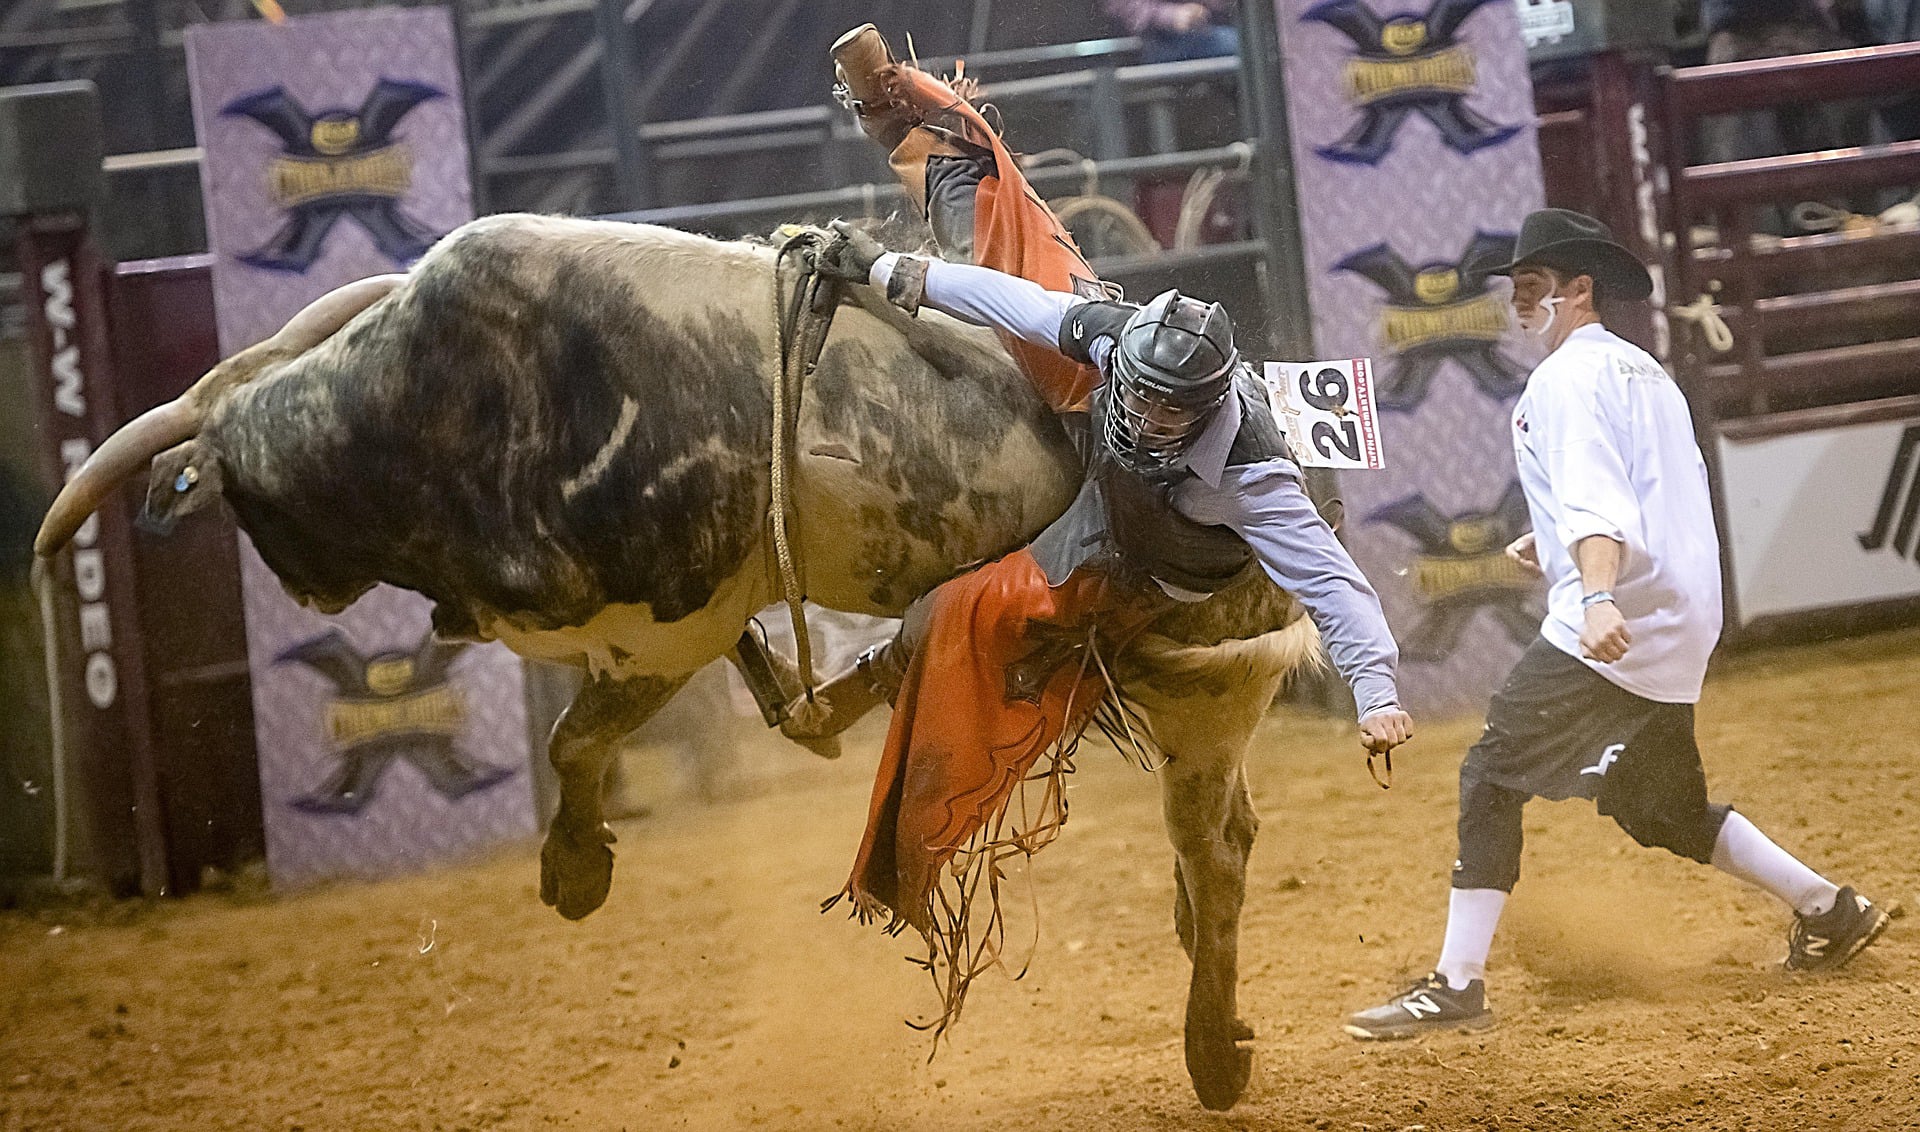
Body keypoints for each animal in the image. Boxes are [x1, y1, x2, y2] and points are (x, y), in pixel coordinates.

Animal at [36, 212, 1319, 1110]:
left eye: (256, 512)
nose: (305, 587)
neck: (437, 408)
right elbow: (599, 731)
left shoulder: (671, 619)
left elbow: (578, 734)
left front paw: (575, 867)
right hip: (1172, 684)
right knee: (1226, 835)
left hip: (1205, 687)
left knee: (1217, 849)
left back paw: (1213, 1048)